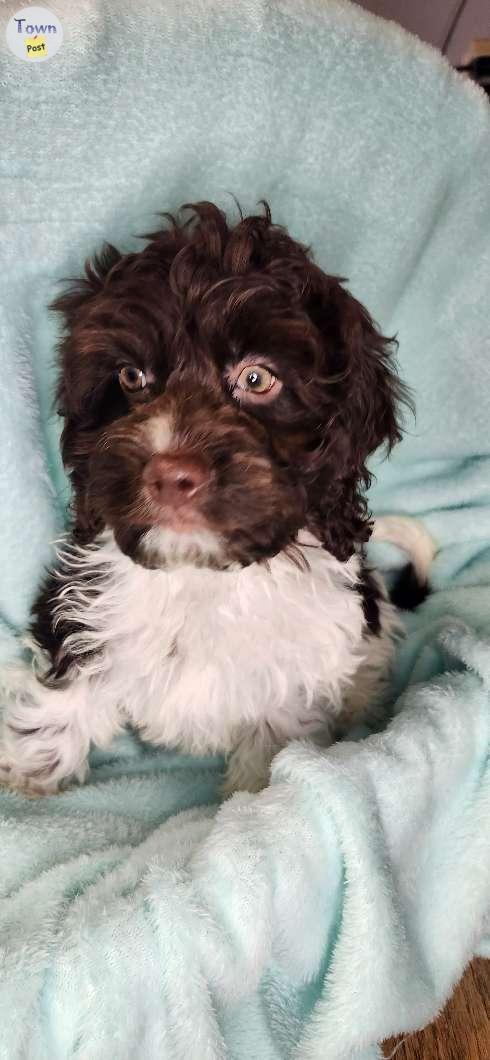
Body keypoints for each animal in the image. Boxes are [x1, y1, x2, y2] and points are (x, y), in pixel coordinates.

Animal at [0, 204, 430, 797]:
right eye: (132, 376)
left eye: (257, 378)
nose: (170, 475)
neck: (200, 575)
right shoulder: (82, 602)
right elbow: (71, 679)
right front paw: (31, 767)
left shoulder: (292, 675)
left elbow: (271, 748)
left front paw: (252, 805)